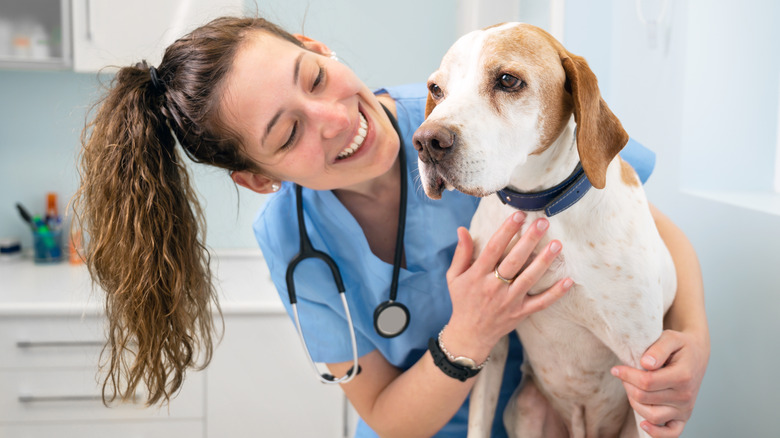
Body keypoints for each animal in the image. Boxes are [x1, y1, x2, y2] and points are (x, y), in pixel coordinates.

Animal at [414, 24, 676, 438]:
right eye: (436, 89)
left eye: (508, 80)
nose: (426, 142)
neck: (540, 208)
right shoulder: (490, 341)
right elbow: (478, 421)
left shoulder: (643, 365)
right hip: (526, 407)